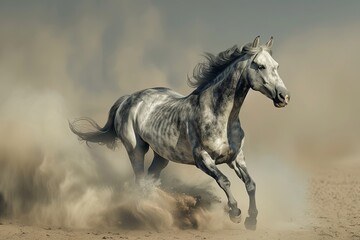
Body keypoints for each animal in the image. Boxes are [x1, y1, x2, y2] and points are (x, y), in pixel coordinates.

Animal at [69, 36, 290, 230]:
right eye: (260, 66)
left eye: (277, 66)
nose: (284, 96)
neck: (219, 115)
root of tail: (129, 98)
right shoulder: (203, 159)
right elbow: (224, 180)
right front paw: (235, 213)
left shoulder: (236, 158)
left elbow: (251, 184)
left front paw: (252, 221)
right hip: (136, 149)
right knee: (140, 181)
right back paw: (147, 216)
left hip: (161, 156)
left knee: (149, 181)